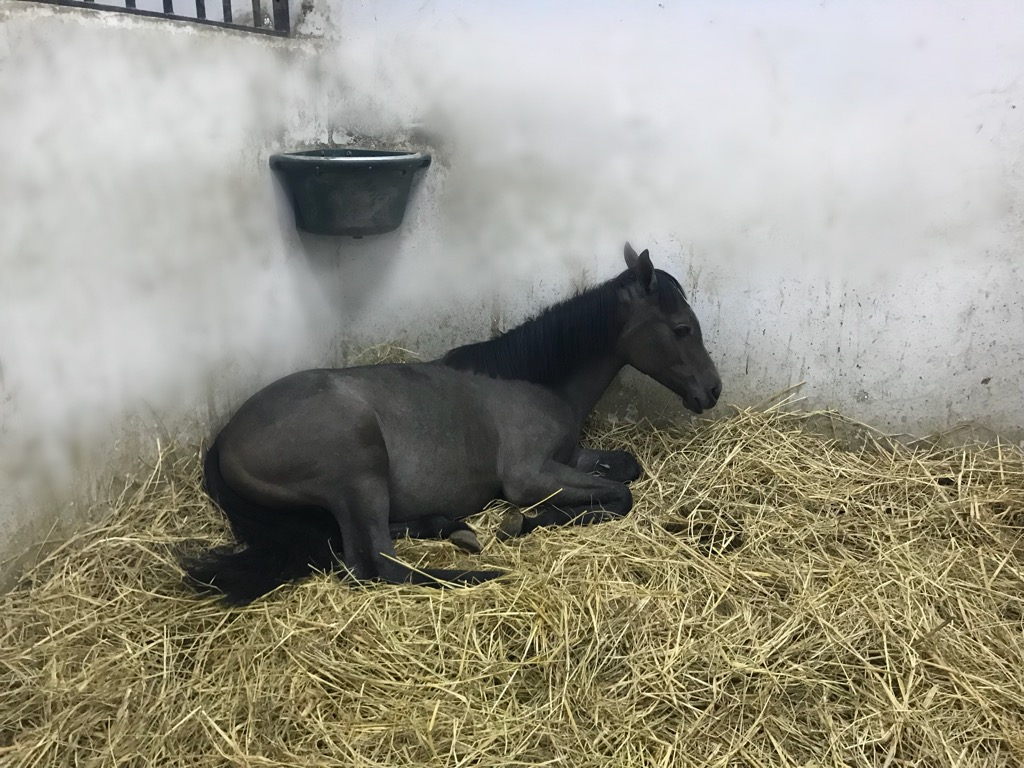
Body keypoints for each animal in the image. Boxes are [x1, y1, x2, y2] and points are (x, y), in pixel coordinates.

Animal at [182, 244, 722, 604]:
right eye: (681, 329)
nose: (713, 390)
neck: (533, 381)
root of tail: (224, 439)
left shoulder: (569, 457)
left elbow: (626, 471)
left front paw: (524, 522)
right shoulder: (529, 475)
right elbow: (619, 496)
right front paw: (521, 522)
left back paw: (450, 527)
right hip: (359, 469)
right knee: (375, 563)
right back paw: (480, 572)